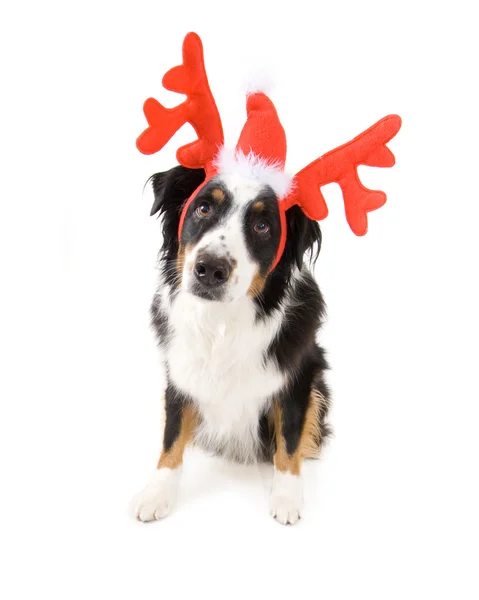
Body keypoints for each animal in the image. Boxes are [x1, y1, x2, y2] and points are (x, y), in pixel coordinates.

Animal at [133, 162, 332, 524]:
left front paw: (286, 497)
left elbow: (290, 436)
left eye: (262, 226)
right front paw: (157, 493)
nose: (210, 269)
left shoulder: (298, 375)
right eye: (202, 208)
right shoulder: (179, 373)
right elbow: (172, 435)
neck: (222, 321)